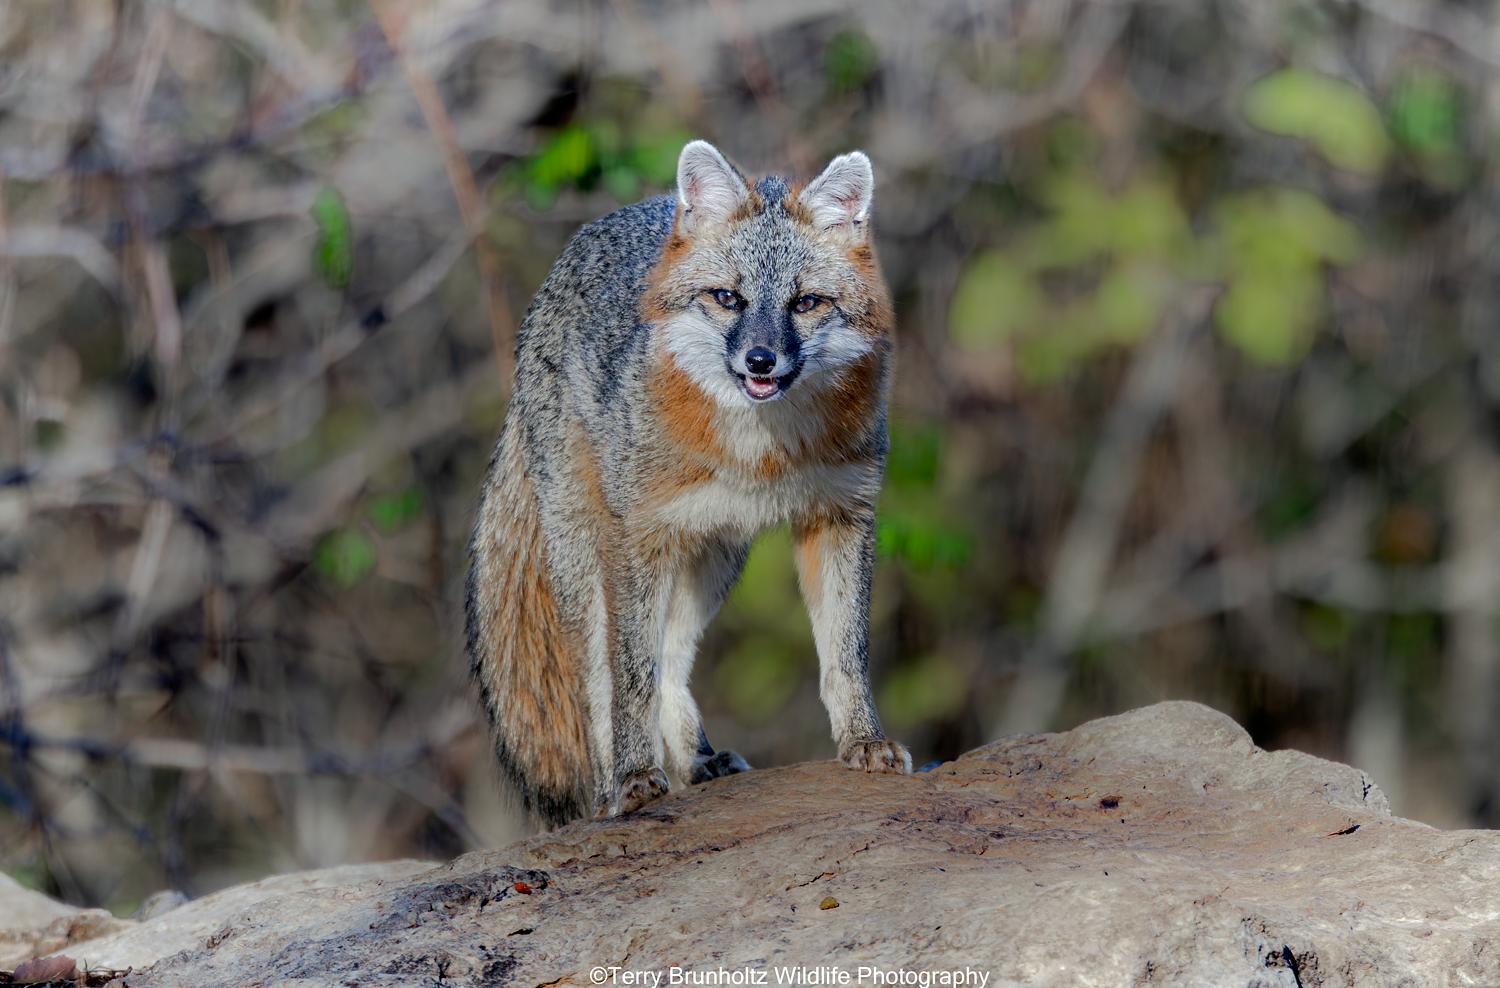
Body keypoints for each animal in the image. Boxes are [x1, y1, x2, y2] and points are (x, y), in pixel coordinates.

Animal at [465, 139, 911, 828]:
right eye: (728, 298)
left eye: (805, 303)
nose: (761, 361)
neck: (760, 451)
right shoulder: (636, 535)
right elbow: (628, 680)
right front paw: (633, 777)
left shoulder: (841, 515)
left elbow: (846, 654)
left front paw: (863, 740)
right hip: (592, 557)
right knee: (605, 675)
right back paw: (614, 785)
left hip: (712, 558)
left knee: (672, 662)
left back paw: (697, 763)